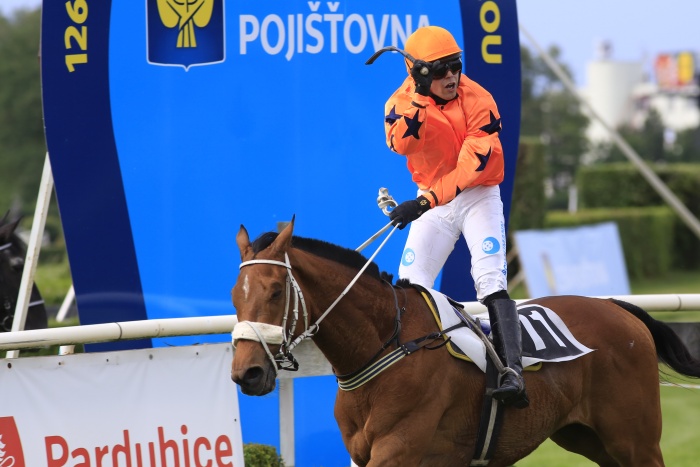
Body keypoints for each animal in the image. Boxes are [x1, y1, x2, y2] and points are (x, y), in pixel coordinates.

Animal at [231, 220, 700, 467]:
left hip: (635, 441)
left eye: (275, 291)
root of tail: (620, 309)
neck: (386, 346)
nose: (245, 373)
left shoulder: (398, 450)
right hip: (590, 439)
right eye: (235, 295)